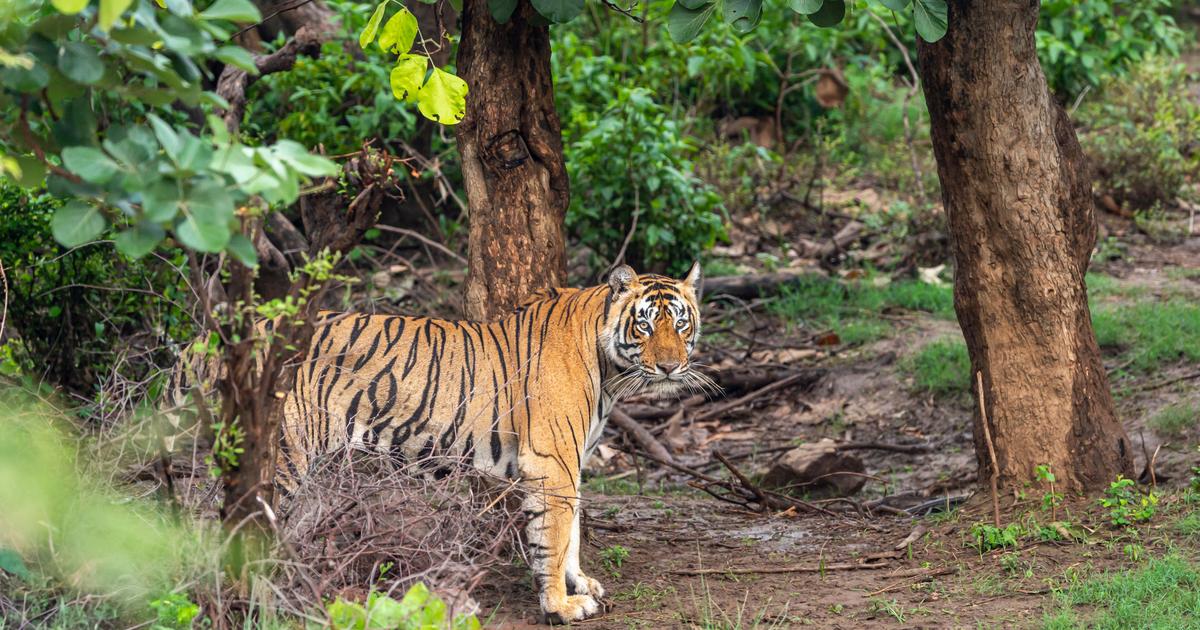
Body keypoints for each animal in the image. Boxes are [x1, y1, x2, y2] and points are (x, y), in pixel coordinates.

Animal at [174, 262, 710, 623]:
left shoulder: (570, 460)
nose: (670, 367)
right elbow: (554, 535)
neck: (610, 372)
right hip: (277, 456)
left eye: (680, 323)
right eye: (645, 323)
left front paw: (581, 584)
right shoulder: (551, 459)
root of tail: (208, 341)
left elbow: (573, 529)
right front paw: (559, 604)